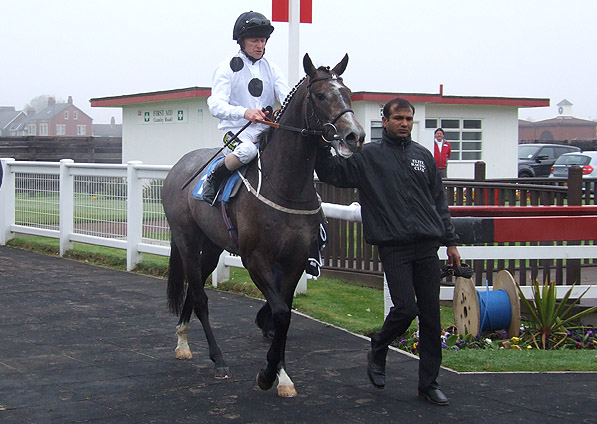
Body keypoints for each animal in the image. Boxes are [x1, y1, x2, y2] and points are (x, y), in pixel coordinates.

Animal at [161, 53, 364, 398]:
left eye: (348, 92)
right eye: (321, 95)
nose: (354, 136)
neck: (285, 185)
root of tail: (178, 167)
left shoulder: (295, 260)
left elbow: (286, 314)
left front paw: (280, 375)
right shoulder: (255, 259)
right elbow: (280, 312)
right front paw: (268, 374)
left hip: (212, 246)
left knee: (195, 287)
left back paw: (183, 342)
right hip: (187, 239)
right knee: (200, 296)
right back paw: (217, 358)